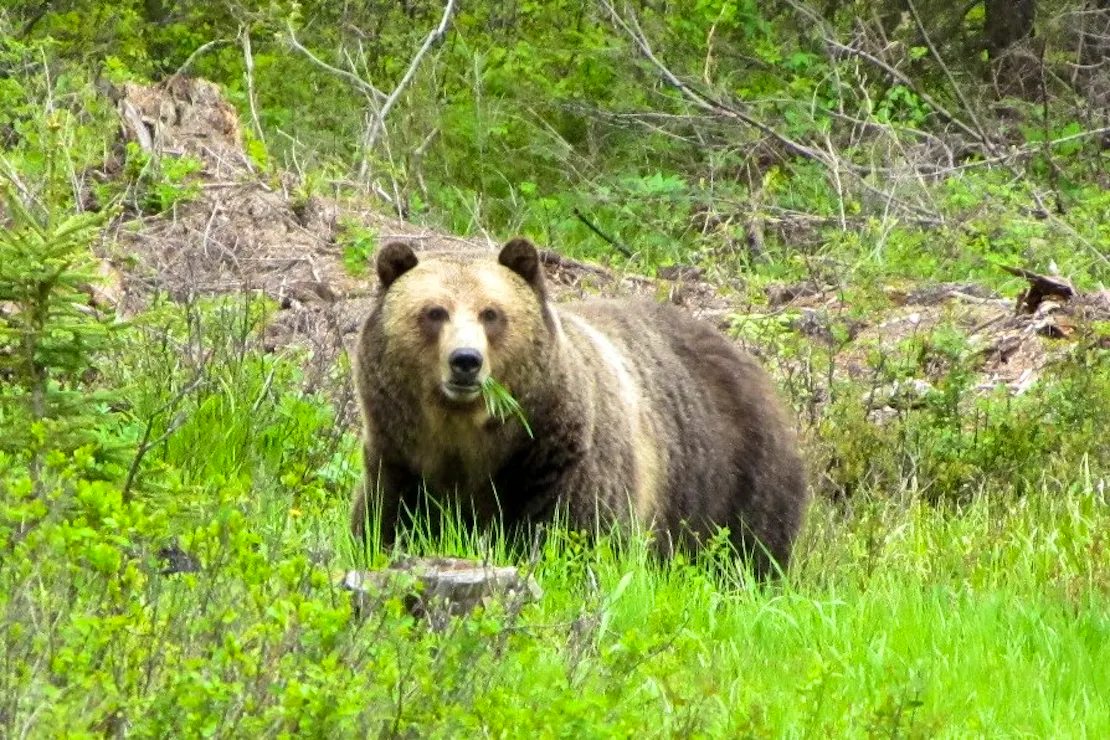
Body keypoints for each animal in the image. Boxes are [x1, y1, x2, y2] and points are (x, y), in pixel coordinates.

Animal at [349, 237, 809, 578]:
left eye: (491, 313)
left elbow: (579, 538)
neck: (469, 440)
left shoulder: (558, 463)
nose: (466, 360)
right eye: (434, 312)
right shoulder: (400, 461)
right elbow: (382, 529)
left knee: (750, 551)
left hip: (731, 476)